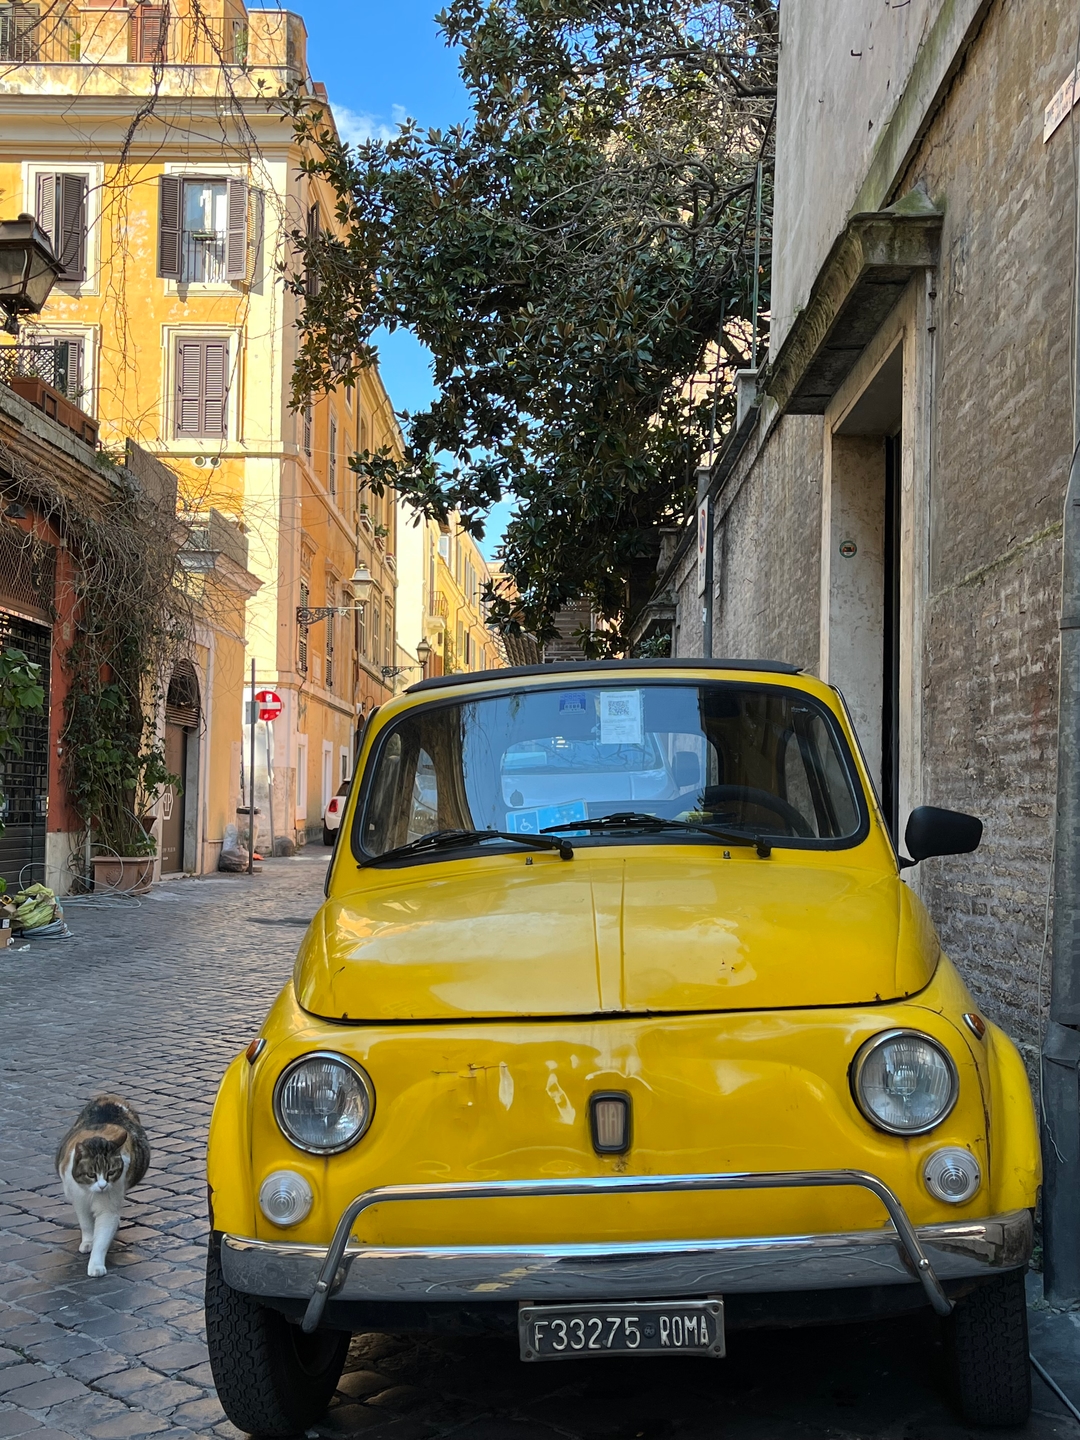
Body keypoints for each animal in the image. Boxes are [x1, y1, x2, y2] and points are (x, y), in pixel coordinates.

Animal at [55, 1094, 150, 1278]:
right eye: (91, 1174)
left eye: (111, 1172)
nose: (102, 1186)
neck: (89, 1192)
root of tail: (110, 1096)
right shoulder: (79, 1200)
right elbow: (86, 1223)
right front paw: (88, 1241)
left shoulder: (108, 1207)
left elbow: (102, 1237)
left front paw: (96, 1265)